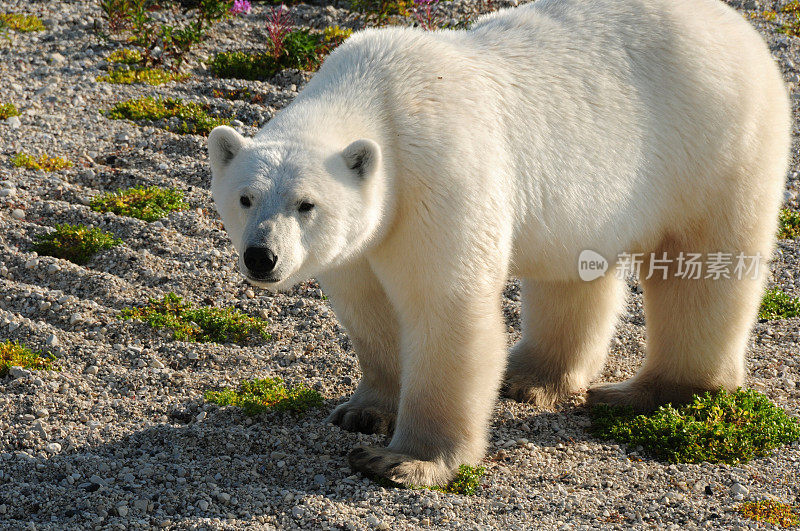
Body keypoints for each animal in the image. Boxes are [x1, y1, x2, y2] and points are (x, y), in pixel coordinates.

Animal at [206, 0, 788, 486]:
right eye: (245, 198)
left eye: (306, 204)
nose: (261, 256)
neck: (378, 94)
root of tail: (741, 29)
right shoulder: (365, 238)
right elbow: (368, 310)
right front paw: (362, 410)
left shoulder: (437, 179)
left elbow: (445, 310)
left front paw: (405, 460)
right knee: (571, 274)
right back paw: (532, 378)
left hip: (713, 144)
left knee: (701, 271)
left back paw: (652, 391)